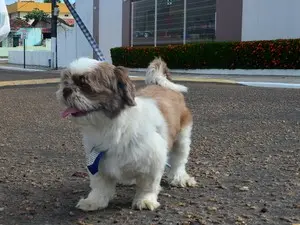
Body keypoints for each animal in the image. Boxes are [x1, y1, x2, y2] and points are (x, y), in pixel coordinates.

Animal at [56, 57, 197, 212]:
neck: (109, 127)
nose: (66, 90)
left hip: (182, 137)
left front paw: (145, 200)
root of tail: (163, 85)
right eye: (66, 81)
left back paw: (179, 177)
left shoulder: (153, 159)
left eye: (84, 84)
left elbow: (148, 185)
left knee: (179, 160)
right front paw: (94, 201)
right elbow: (100, 185)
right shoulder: (97, 160)